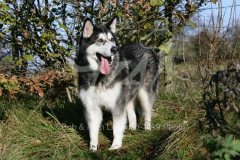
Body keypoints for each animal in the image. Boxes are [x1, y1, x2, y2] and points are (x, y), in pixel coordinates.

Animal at [76, 16, 159, 151]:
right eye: (100, 40)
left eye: (111, 40)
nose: (114, 49)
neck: (99, 77)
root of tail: (145, 46)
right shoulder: (92, 107)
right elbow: (93, 131)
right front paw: (92, 149)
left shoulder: (117, 105)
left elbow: (116, 128)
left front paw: (115, 146)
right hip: (127, 95)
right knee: (132, 114)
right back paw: (132, 129)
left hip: (145, 94)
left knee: (147, 113)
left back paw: (147, 130)